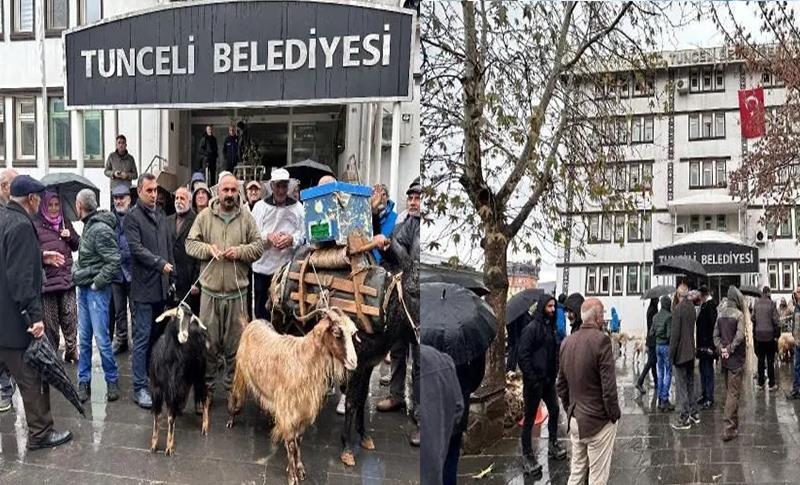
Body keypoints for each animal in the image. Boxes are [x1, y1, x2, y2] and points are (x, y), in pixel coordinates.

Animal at [148, 300, 208, 456]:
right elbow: (157, 416)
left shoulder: (171, 389)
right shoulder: (156, 388)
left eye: (191, 317)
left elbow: (170, 418)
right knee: (188, 388)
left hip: (199, 373)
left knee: (205, 395)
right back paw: (181, 407)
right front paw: (154, 445)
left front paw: (169, 448)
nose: (184, 336)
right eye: (177, 315)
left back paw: (205, 427)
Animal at [228, 308, 360, 482]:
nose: (353, 363)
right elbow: (291, 444)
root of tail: (252, 323)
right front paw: (292, 476)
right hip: (241, 371)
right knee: (235, 394)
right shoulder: (289, 412)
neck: (304, 361)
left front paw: (300, 469)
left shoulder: (303, 412)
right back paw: (231, 419)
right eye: (337, 332)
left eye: (352, 333)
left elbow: (298, 441)